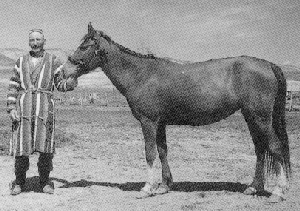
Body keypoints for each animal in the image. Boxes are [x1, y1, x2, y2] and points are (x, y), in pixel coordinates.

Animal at [68, 23, 290, 203]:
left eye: (84, 46)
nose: (64, 70)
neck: (141, 75)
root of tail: (268, 65)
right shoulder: (160, 123)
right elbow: (162, 151)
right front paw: (164, 185)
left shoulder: (148, 122)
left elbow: (150, 152)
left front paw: (147, 188)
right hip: (251, 118)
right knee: (260, 149)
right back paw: (253, 188)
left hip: (261, 119)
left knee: (275, 148)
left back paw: (278, 192)